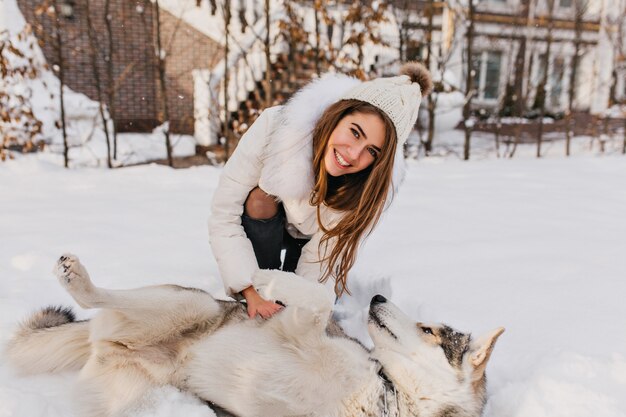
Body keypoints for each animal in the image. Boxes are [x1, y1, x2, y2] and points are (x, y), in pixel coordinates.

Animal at [6, 254, 502, 416]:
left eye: (427, 329)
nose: (378, 297)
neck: (386, 400)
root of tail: (106, 340)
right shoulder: (296, 326)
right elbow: (318, 300)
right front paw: (268, 281)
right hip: (190, 305)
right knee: (98, 297)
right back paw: (76, 277)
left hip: (114, 398)